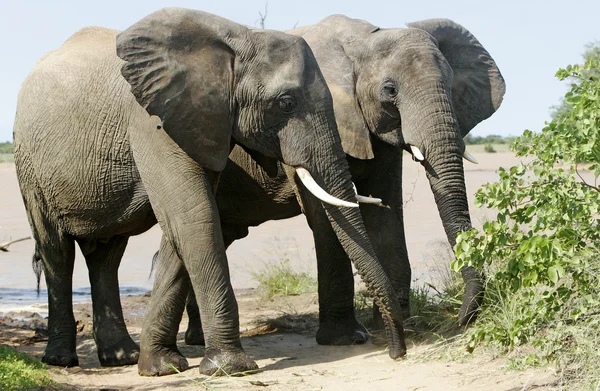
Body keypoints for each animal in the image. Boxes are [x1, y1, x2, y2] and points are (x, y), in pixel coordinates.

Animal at [14, 8, 406, 376]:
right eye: (286, 103)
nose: (395, 353)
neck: (235, 39)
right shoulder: (151, 120)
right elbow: (193, 216)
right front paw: (230, 368)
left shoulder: (205, 122)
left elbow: (184, 224)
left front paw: (161, 367)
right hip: (28, 162)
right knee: (56, 250)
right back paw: (62, 360)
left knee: (107, 255)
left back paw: (120, 358)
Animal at [176, 13, 504, 344]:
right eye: (390, 90)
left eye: (450, 82)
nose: (463, 319)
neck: (361, 42)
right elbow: (326, 216)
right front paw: (347, 338)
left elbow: (386, 211)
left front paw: (404, 327)